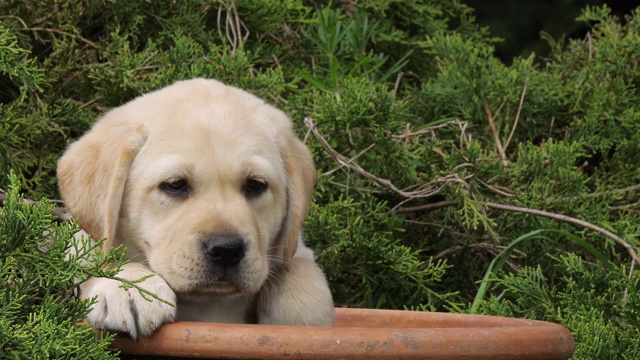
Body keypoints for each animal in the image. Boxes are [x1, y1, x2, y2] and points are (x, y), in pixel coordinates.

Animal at [57, 78, 336, 338]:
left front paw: (303, 319)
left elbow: (298, 268)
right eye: (175, 185)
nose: (226, 250)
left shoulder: (295, 249)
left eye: (255, 185)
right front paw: (129, 286)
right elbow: (102, 261)